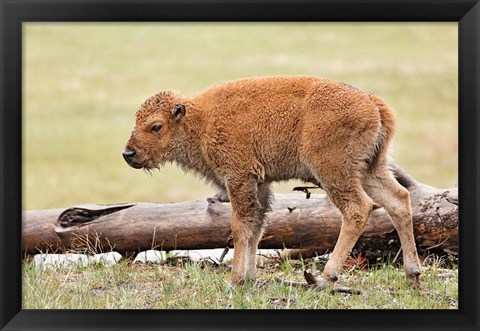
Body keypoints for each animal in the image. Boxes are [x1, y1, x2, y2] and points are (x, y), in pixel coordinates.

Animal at [123, 77, 420, 288]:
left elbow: (240, 226)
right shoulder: (260, 183)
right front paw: (250, 278)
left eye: (156, 126)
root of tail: (372, 102)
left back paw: (328, 277)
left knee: (358, 209)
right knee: (399, 200)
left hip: (334, 172)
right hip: (371, 169)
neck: (200, 121)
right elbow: (256, 226)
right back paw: (412, 273)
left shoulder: (239, 177)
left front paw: (235, 280)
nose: (128, 154)